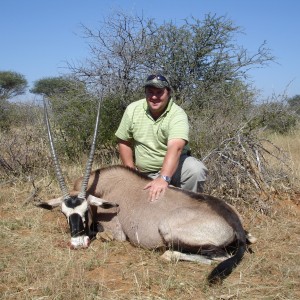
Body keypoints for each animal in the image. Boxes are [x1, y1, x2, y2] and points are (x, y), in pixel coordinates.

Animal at [39, 98, 255, 284]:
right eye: (64, 213)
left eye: (85, 211)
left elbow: (101, 234)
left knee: (212, 257)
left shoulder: (116, 232)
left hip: (171, 230)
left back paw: (167, 254)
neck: (105, 187)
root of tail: (234, 223)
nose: (76, 243)